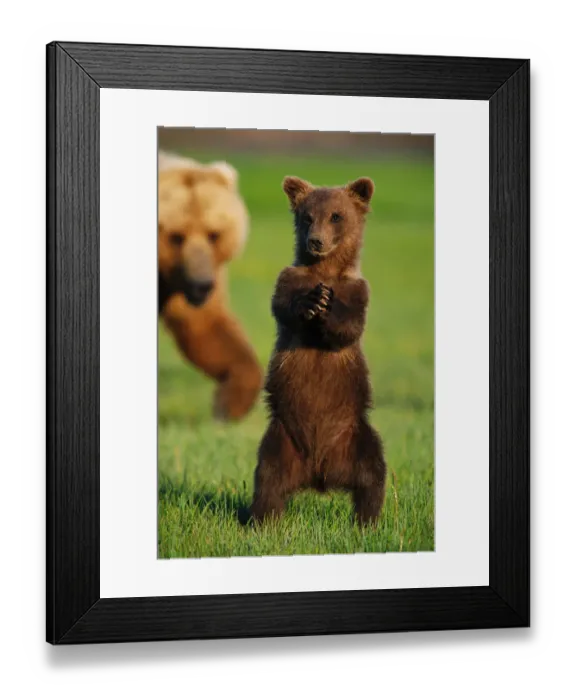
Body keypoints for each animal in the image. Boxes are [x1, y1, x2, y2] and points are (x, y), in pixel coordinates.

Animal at [248, 175, 387, 525]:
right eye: (307, 217)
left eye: (336, 216)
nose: (316, 241)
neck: (325, 271)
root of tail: (319, 474)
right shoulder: (289, 278)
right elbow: (285, 306)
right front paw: (312, 301)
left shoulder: (357, 290)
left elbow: (349, 326)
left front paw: (328, 307)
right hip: (281, 439)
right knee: (267, 478)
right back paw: (264, 522)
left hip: (355, 435)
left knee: (372, 473)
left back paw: (366, 521)